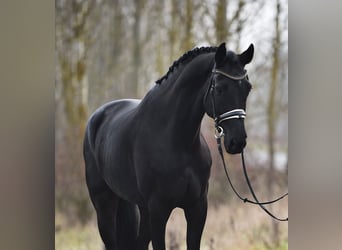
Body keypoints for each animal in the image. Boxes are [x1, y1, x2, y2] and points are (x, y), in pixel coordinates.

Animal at [83, 42, 254, 249]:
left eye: (247, 88)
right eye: (220, 88)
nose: (237, 141)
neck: (178, 142)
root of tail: (97, 118)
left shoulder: (197, 209)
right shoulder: (158, 210)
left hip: (138, 207)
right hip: (105, 206)